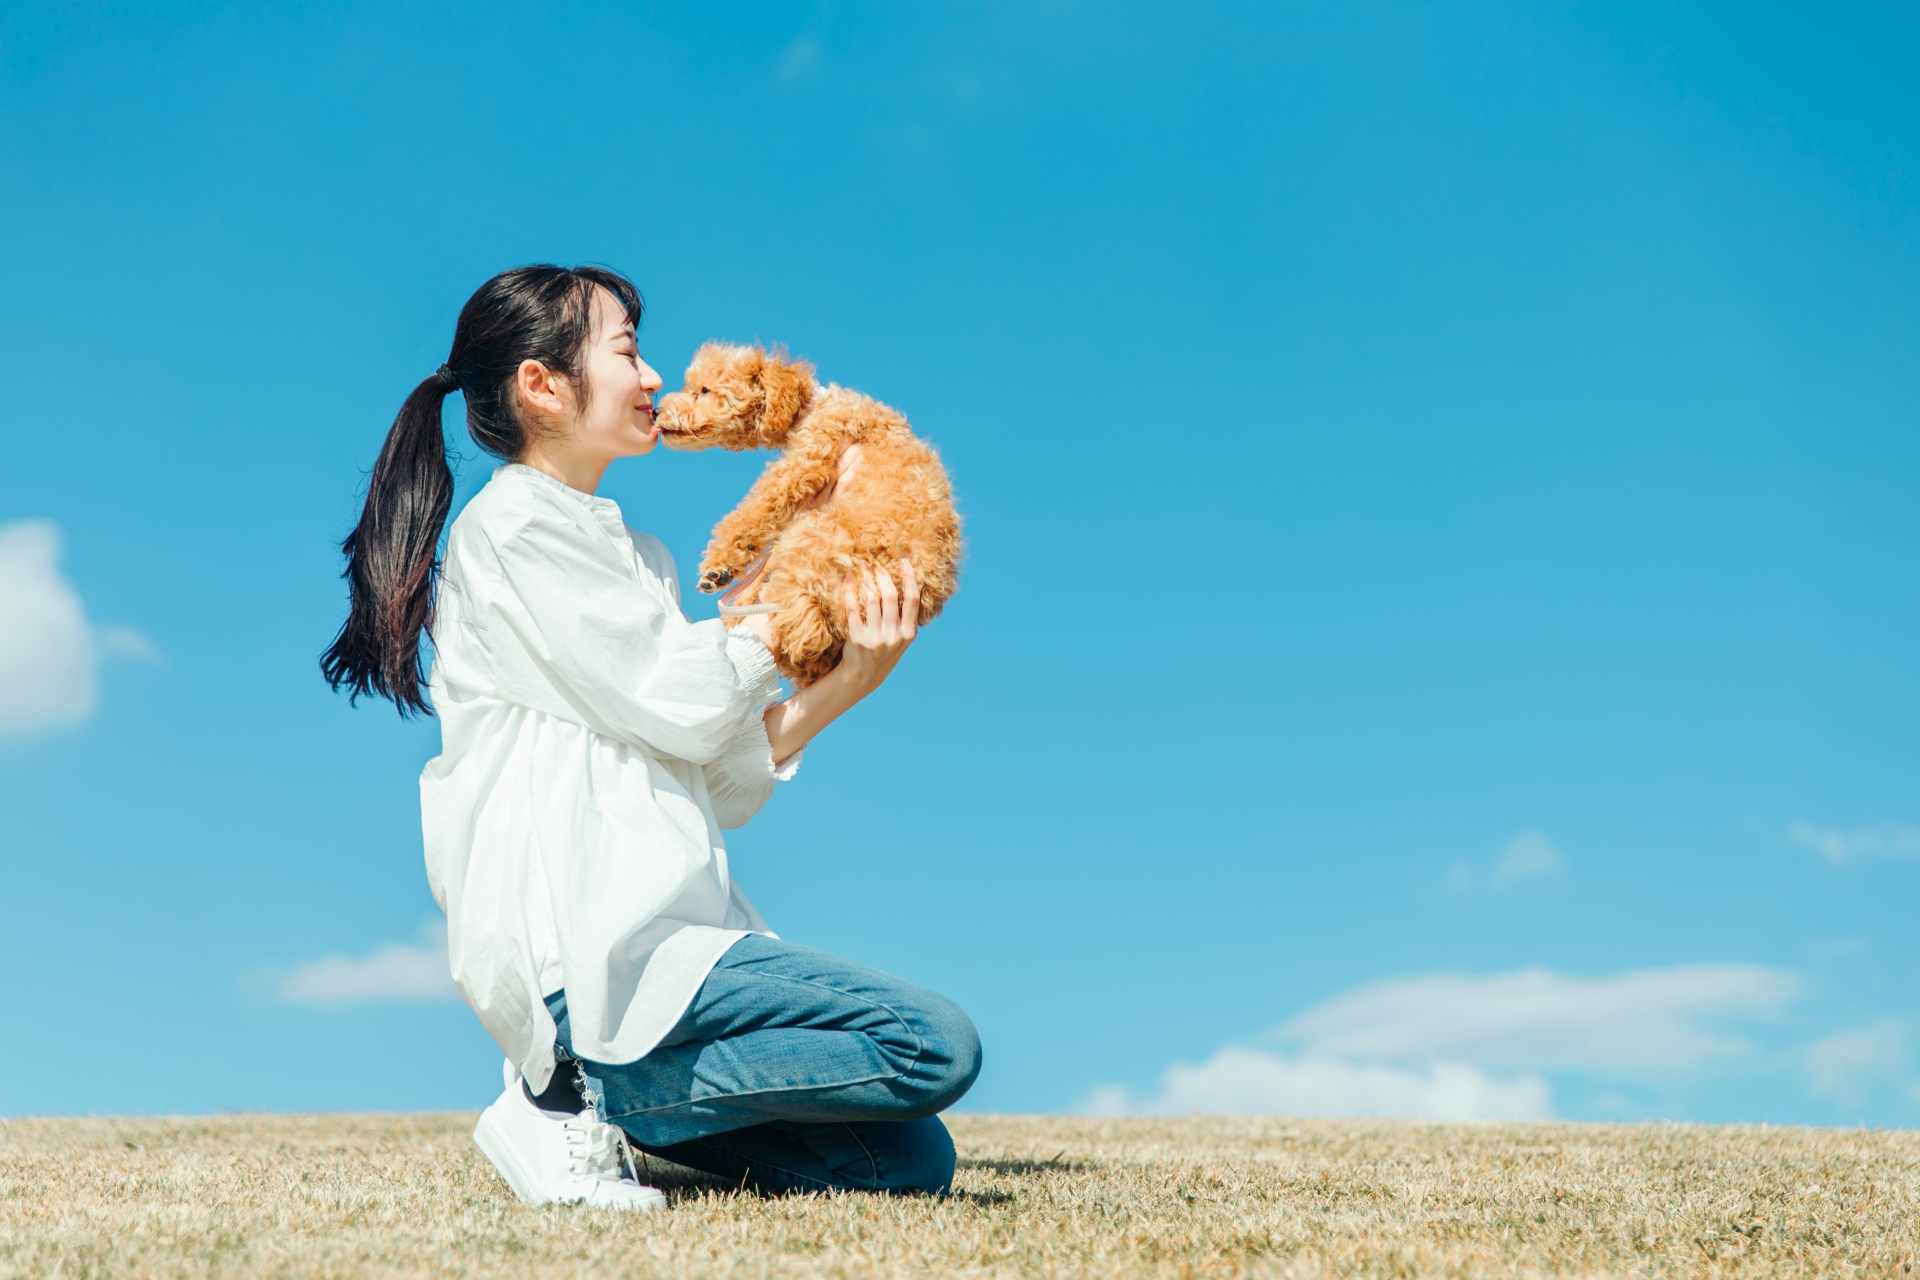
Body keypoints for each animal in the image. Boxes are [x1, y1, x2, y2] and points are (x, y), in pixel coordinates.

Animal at [656, 337, 960, 679]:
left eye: (704, 390)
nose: (655, 410)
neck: (811, 407)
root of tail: (834, 612)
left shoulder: (808, 458)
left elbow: (757, 508)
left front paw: (719, 564)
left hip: (814, 531)